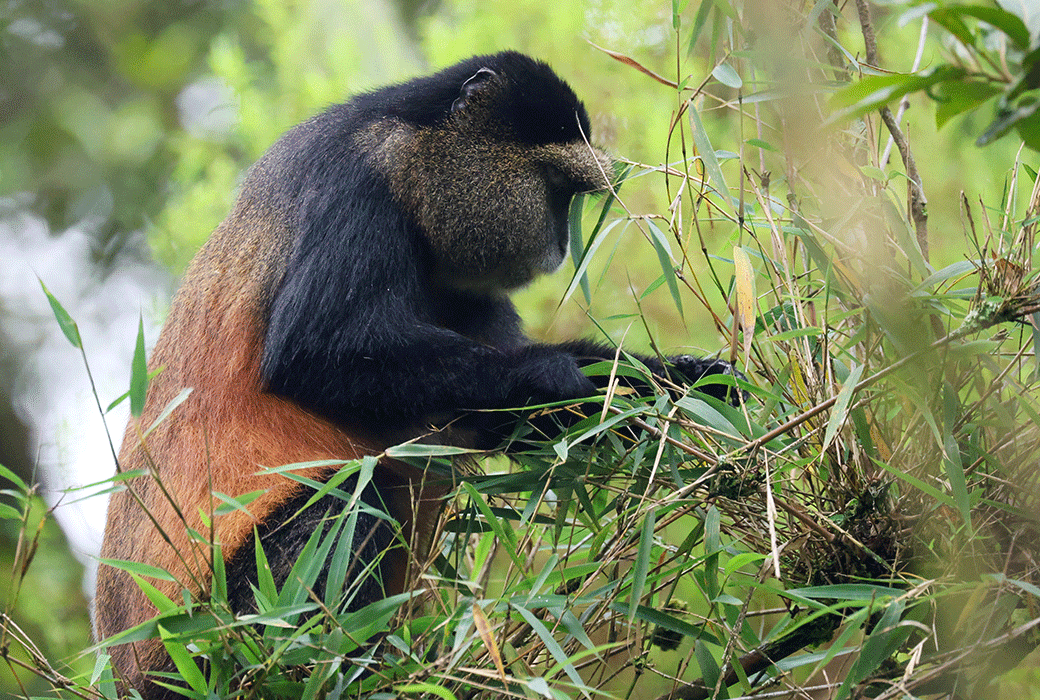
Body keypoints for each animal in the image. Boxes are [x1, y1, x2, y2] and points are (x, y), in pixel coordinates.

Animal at [95, 51, 742, 698]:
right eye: (556, 190)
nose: (560, 243)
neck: (413, 154)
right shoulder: (355, 185)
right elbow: (314, 354)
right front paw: (551, 374)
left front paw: (681, 382)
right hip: (212, 633)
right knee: (357, 501)